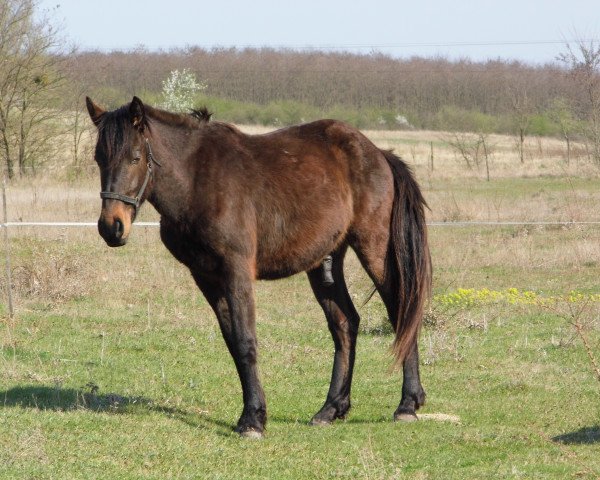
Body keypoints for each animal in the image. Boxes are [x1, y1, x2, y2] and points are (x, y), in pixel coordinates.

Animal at [85, 97, 432, 438]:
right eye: (99, 158)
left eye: (135, 157)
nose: (111, 227)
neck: (197, 180)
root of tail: (378, 153)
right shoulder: (206, 277)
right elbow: (234, 344)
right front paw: (251, 414)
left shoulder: (236, 270)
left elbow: (246, 340)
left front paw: (253, 420)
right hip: (325, 263)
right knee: (345, 324)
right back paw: (331, 408)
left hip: (375, 250)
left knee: (401, 313)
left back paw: (407, 404)